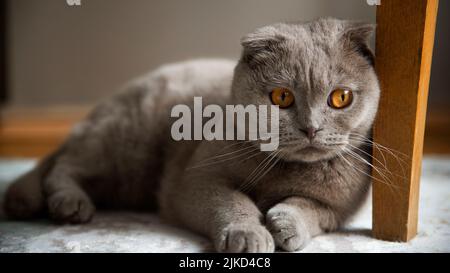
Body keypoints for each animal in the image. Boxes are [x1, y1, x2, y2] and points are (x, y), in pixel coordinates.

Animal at [3, 18, 380, 252]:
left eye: (340, 97)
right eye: (282, 97)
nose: (311, 127)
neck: (284, 171)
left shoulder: (340, 210)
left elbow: (310, 208)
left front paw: (285, 224)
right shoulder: (195, 181)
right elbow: (233, 201)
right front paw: (249, 234)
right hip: (125, 146)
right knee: (63, 166)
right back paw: (70, 205)